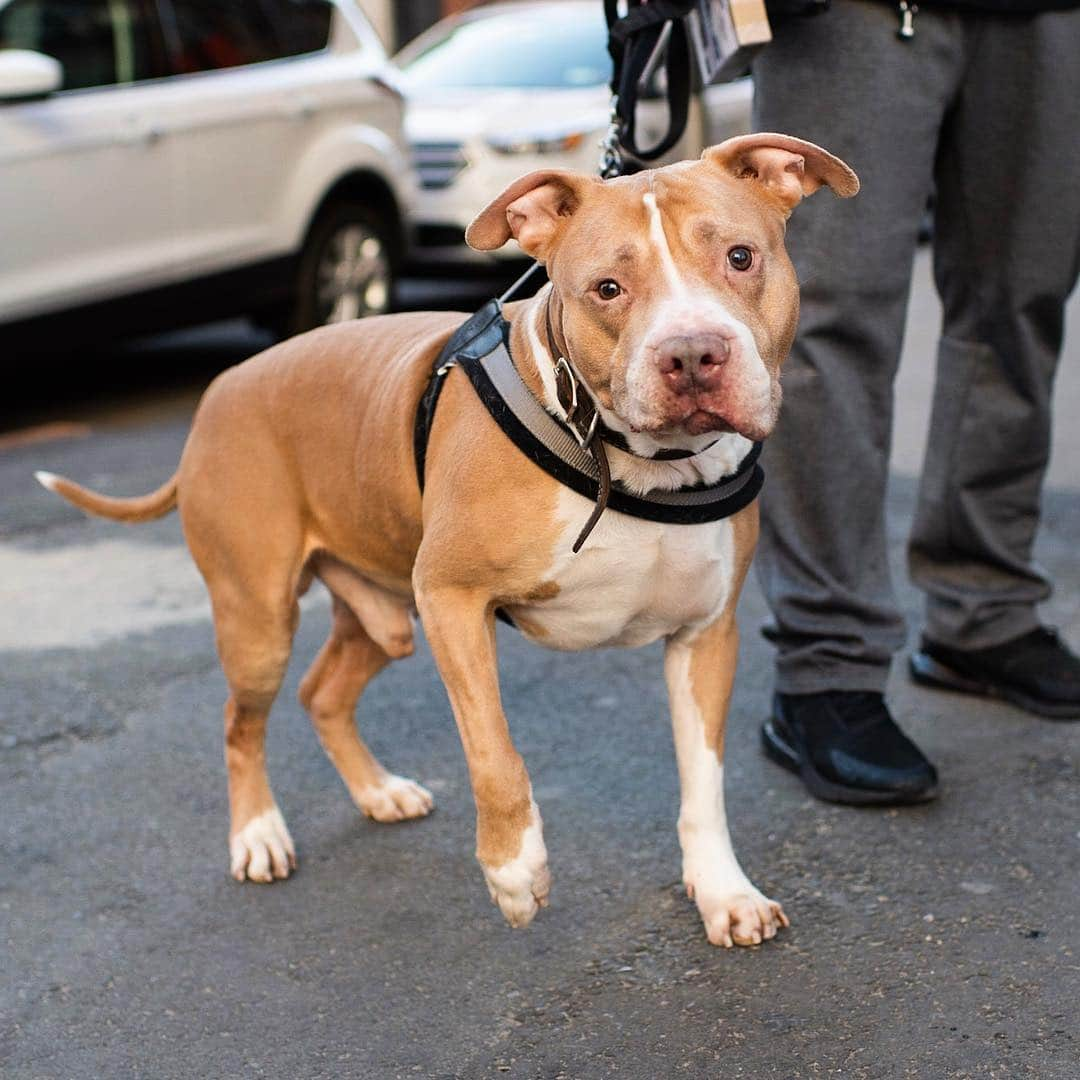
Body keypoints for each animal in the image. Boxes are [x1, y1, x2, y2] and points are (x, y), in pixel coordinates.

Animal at [38, 132, 855, 946]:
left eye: (741, 257)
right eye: (607, 289)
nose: (691, 354)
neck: (627, 462)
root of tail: (219, 391)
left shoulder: (705, 635)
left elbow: (703, 782)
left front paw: (723, 891)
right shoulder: (453, 601)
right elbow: (493, 751)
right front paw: (514, 871)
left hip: (385, 612)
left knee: (322, 692)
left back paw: (377, 792)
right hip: (261, 618)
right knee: (243, 720)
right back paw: (259, 835)